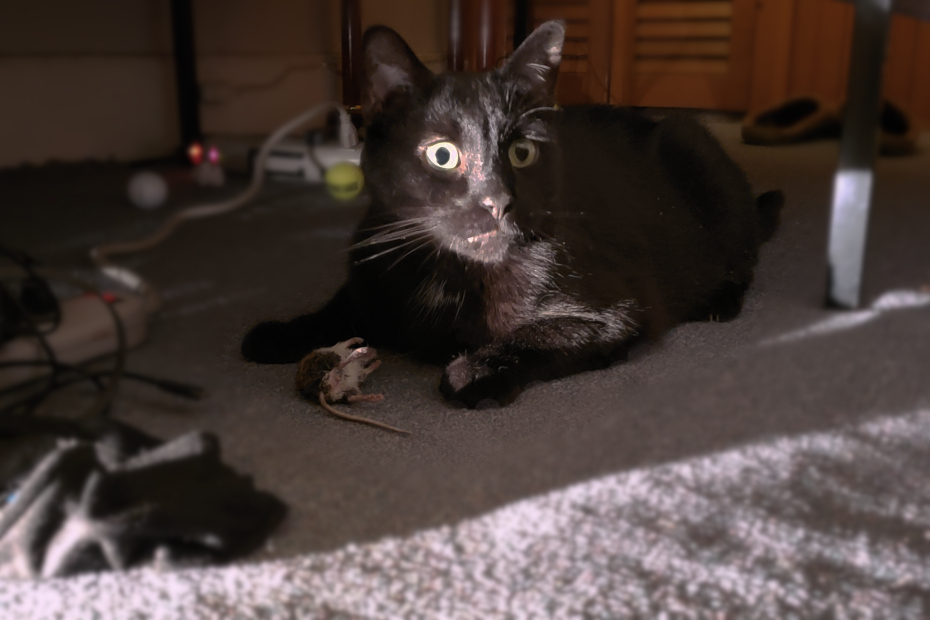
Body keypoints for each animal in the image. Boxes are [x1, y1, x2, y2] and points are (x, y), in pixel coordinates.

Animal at [243, 20, 780, 406]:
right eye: (442, 154)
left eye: (522, 153)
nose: (498, 199)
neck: (453, 272)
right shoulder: (371, 269)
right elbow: (341, 307)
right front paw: (281, 333)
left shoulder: (615, 311)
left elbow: (537, 335)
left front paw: (474, 370)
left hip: (698, 157)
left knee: (744, 257)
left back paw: (719, 301)